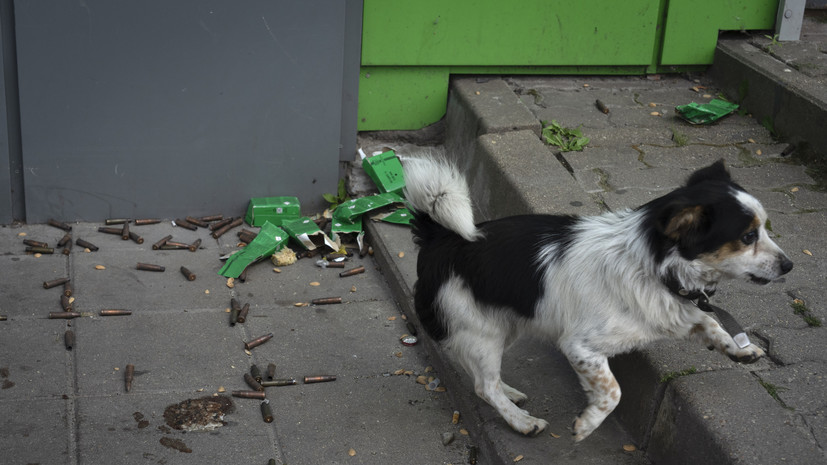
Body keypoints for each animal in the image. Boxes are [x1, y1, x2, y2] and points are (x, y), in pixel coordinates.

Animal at [404, 155, 792, 438]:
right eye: (748, 236)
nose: (789, 265)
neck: (651, 266)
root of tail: (439, 236)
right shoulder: (580, 347)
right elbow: (613, 392)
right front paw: (587, 424)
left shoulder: (677, 308)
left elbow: (709, 321)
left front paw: (738, 348)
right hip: (482, 331)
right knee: (484, 386)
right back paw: (521, 421)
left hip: (505, 324)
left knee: (483, 379)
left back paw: (511, 395)